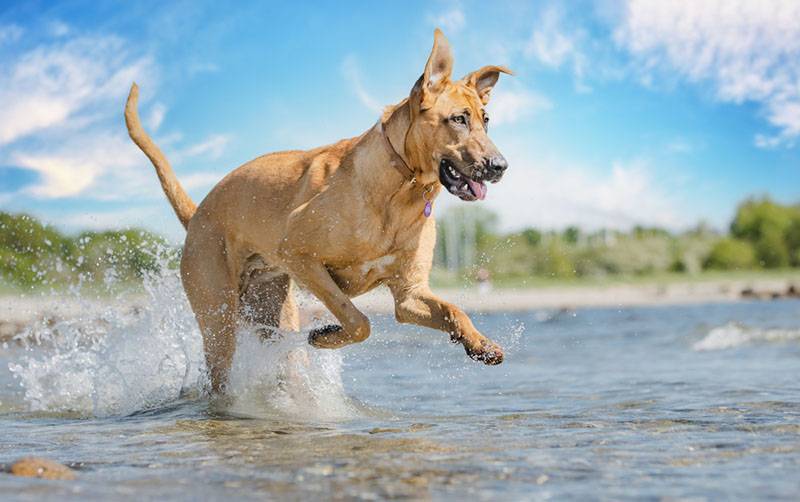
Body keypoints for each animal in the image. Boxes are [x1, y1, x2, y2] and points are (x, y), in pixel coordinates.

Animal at [125, 29, 512, 394]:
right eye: (458, 119)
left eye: (486, 120)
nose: (500, 166)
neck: (401, 190)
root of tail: (197, 214)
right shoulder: (300, 257)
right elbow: (357, 320)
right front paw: (325, 335)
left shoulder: (410, 294)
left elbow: (453, 309)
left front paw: (480, 344)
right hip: (218, 319)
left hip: (271, 314)